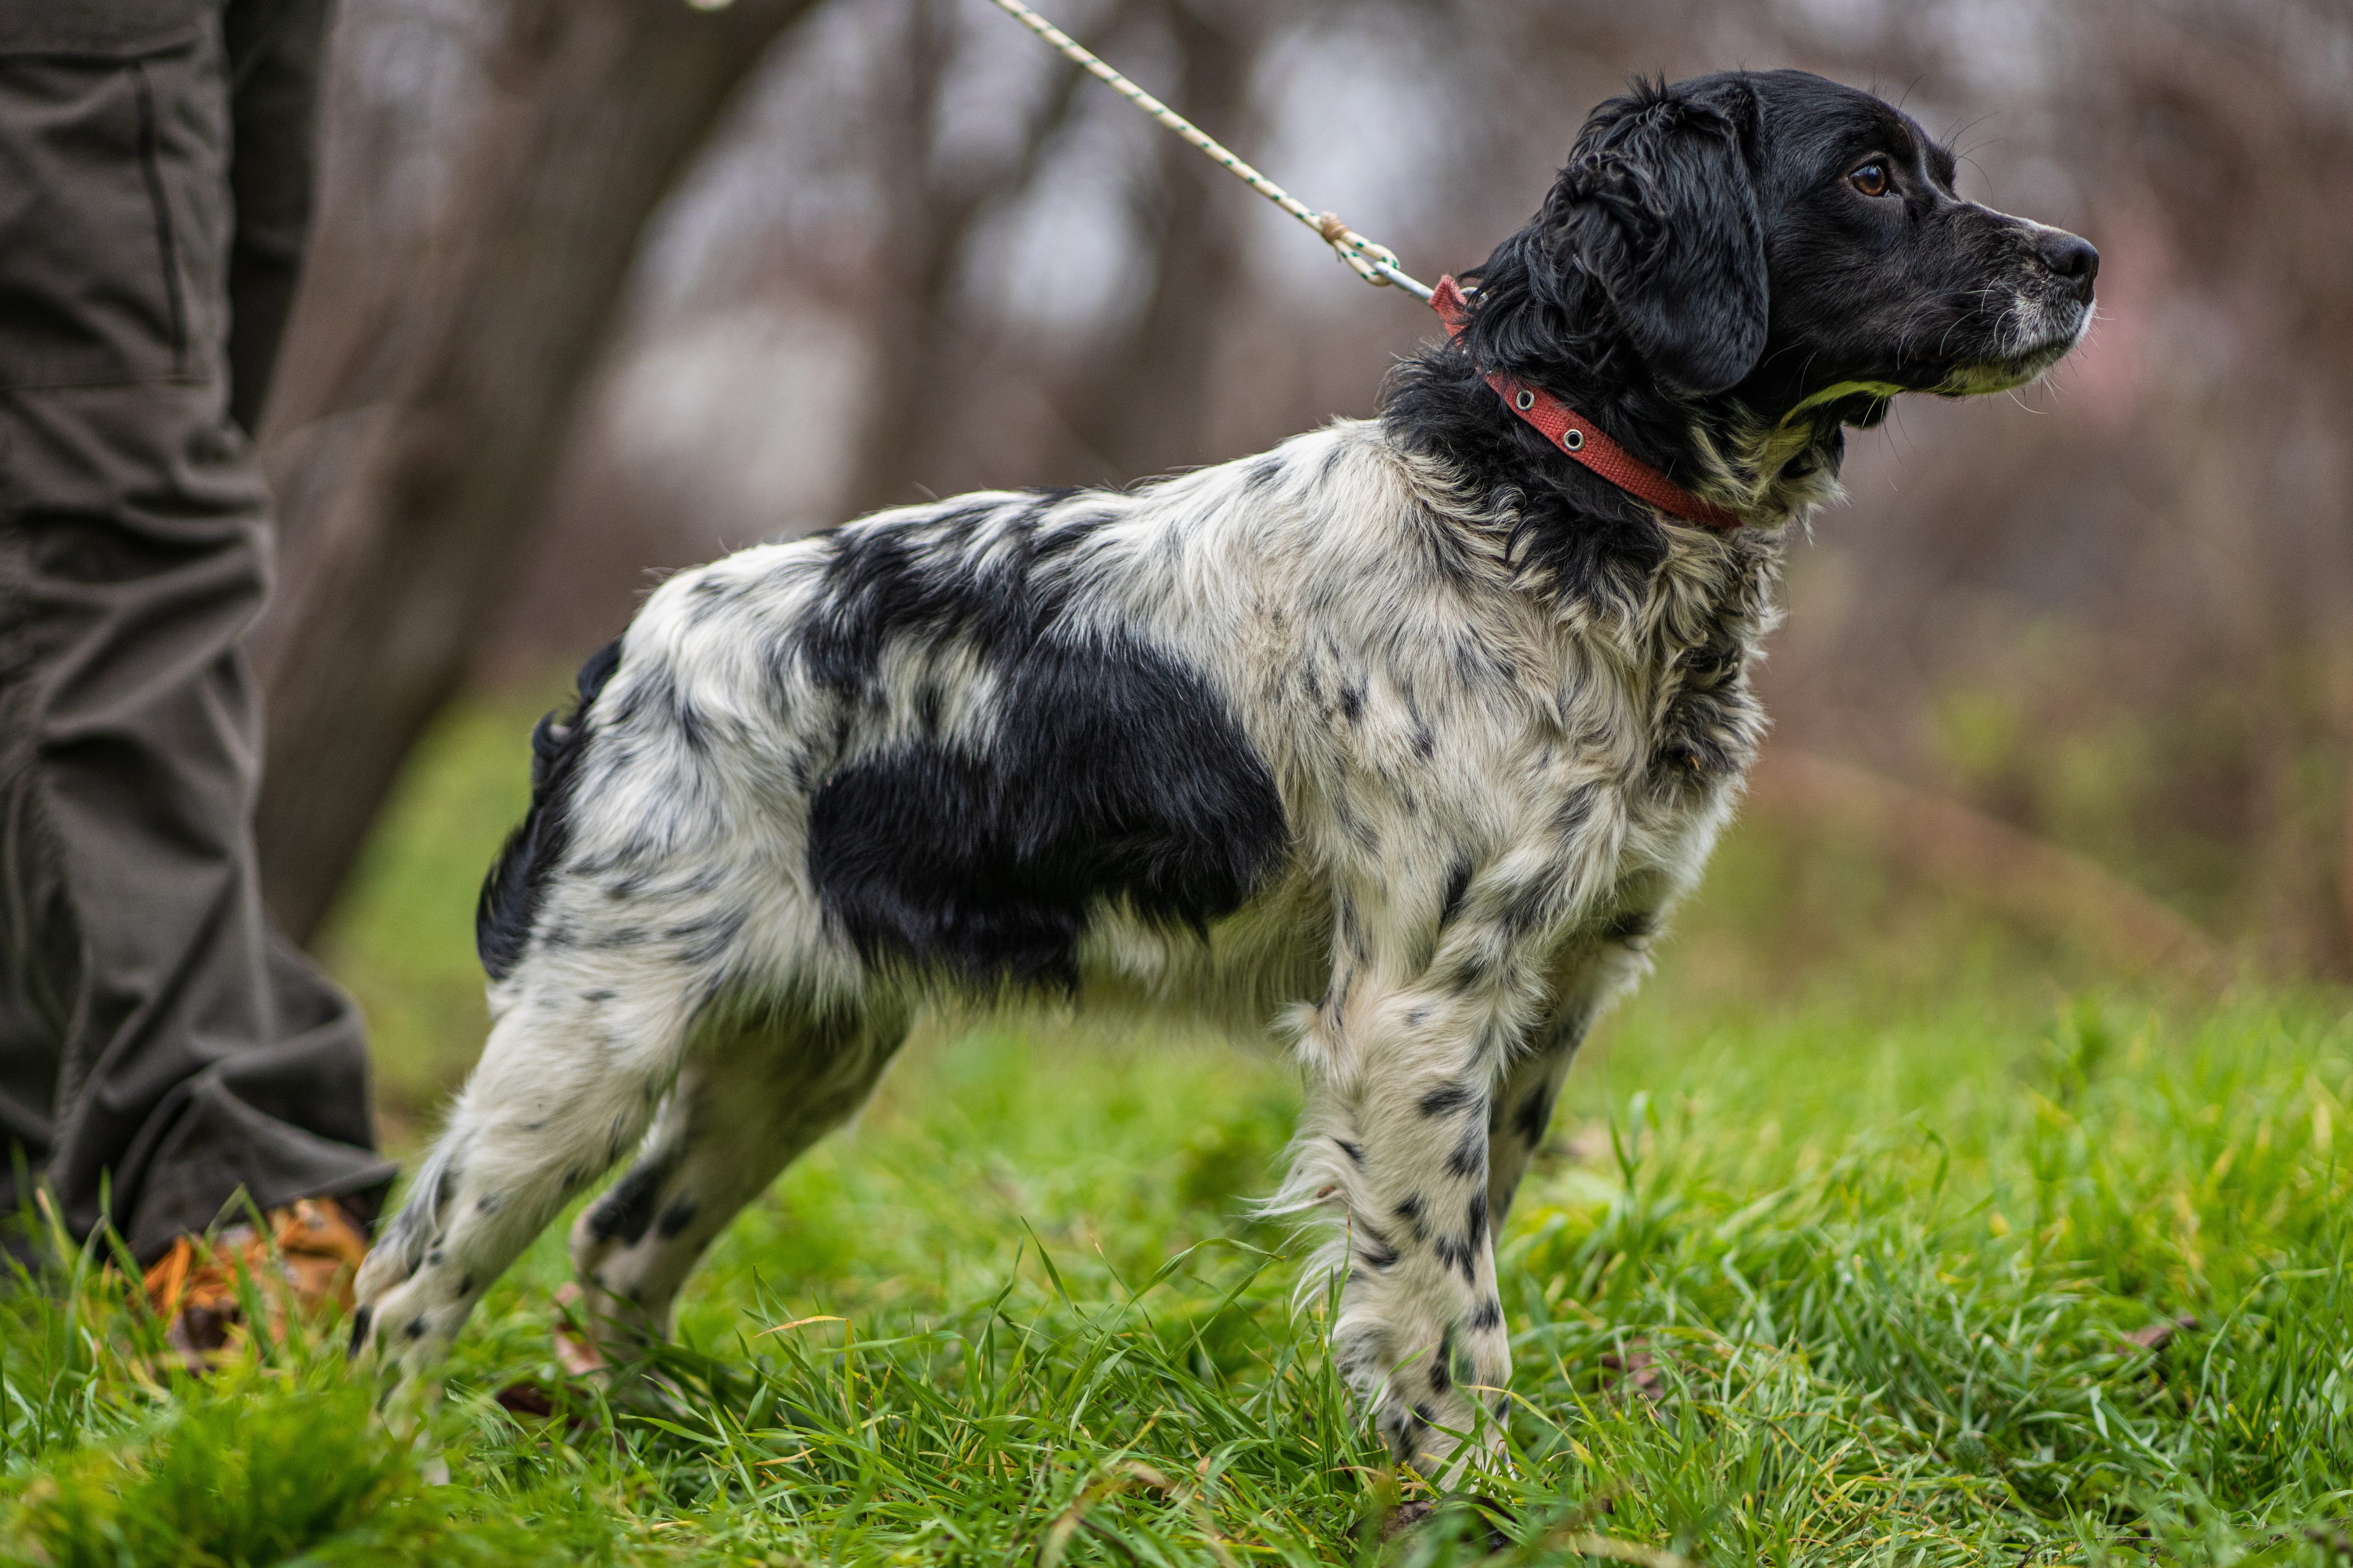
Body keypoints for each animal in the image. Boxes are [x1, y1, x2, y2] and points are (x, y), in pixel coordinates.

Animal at [353, 67, 2099, 1476]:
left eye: (1931, 167)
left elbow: (1454, 1270)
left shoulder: (1545, 1001)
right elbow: (1442, 1308)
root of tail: (630, 650)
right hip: (592, 1035)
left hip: (798, 1047)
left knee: (615, 1249)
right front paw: (1460, 1498)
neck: (1546, 515)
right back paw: (390, 1477)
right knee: (405, 1276)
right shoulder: (1417, 1007)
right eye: (1866, 176)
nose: (2081, 261)